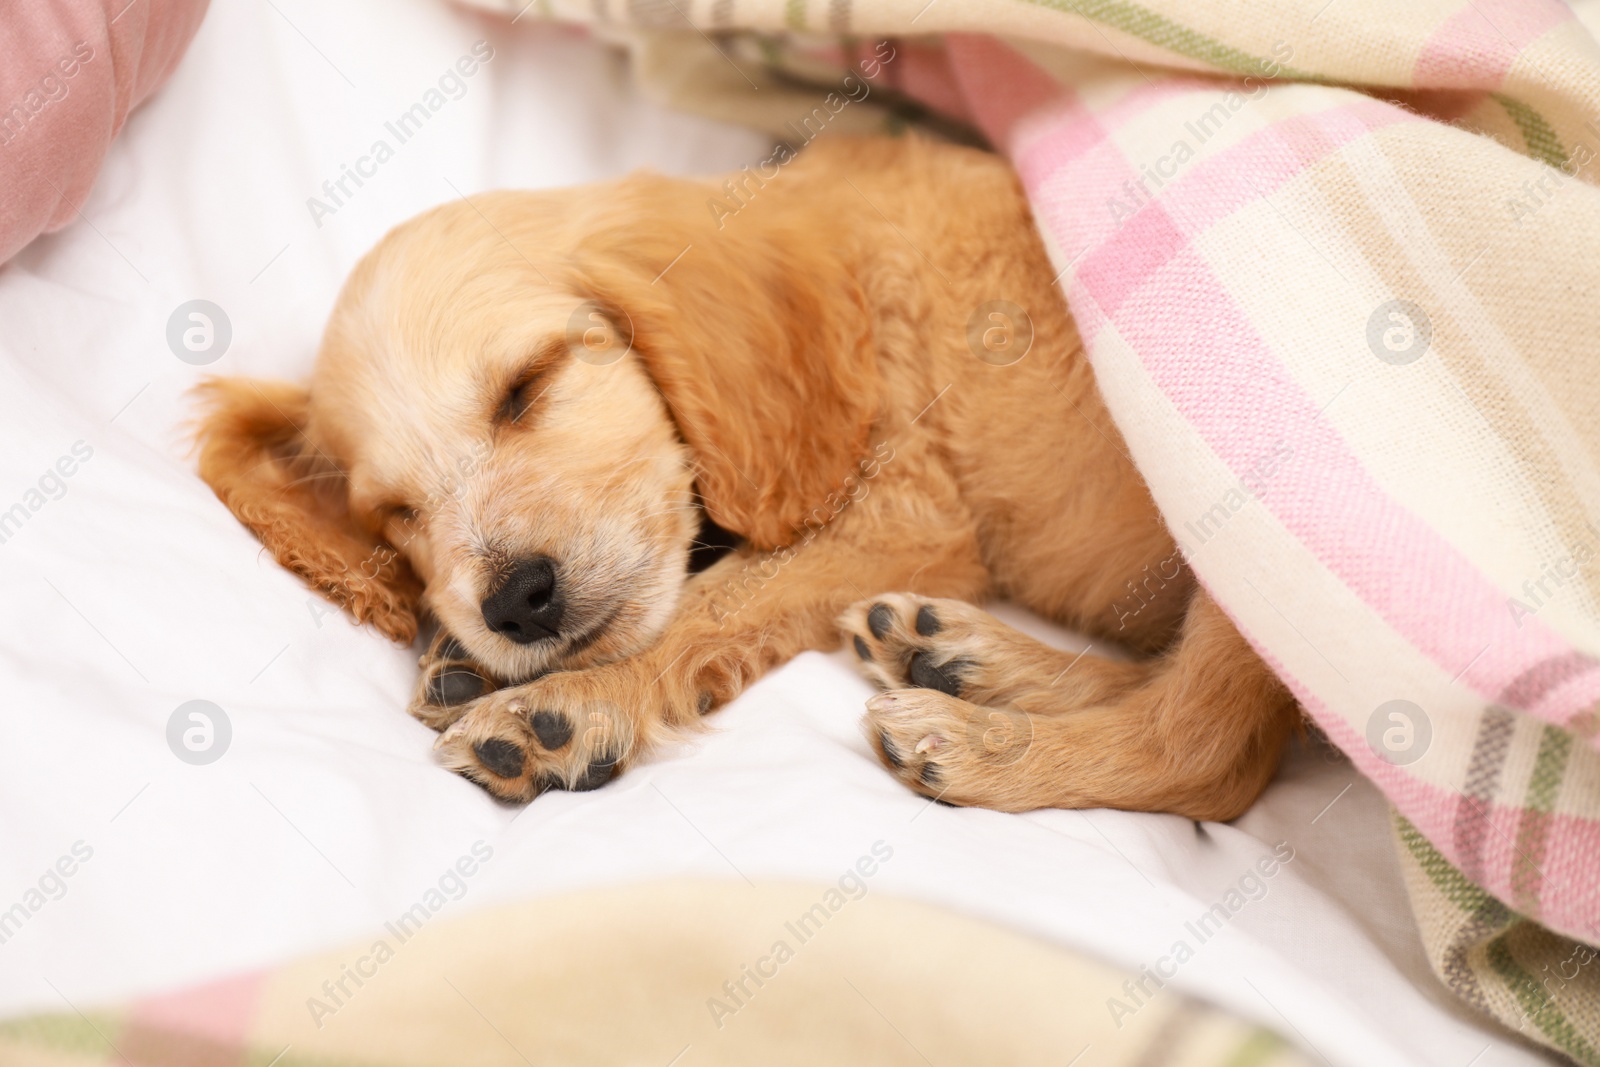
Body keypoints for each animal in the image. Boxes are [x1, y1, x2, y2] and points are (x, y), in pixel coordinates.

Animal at [196, 133, 1299, 819]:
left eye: (527, 386)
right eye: (396, 512)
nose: (514, 602)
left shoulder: (899, 516)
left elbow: (704, 610)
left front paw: (565, 707)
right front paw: (479, 666)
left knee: (1212, 749)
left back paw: (977, 737)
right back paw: (966, 657)